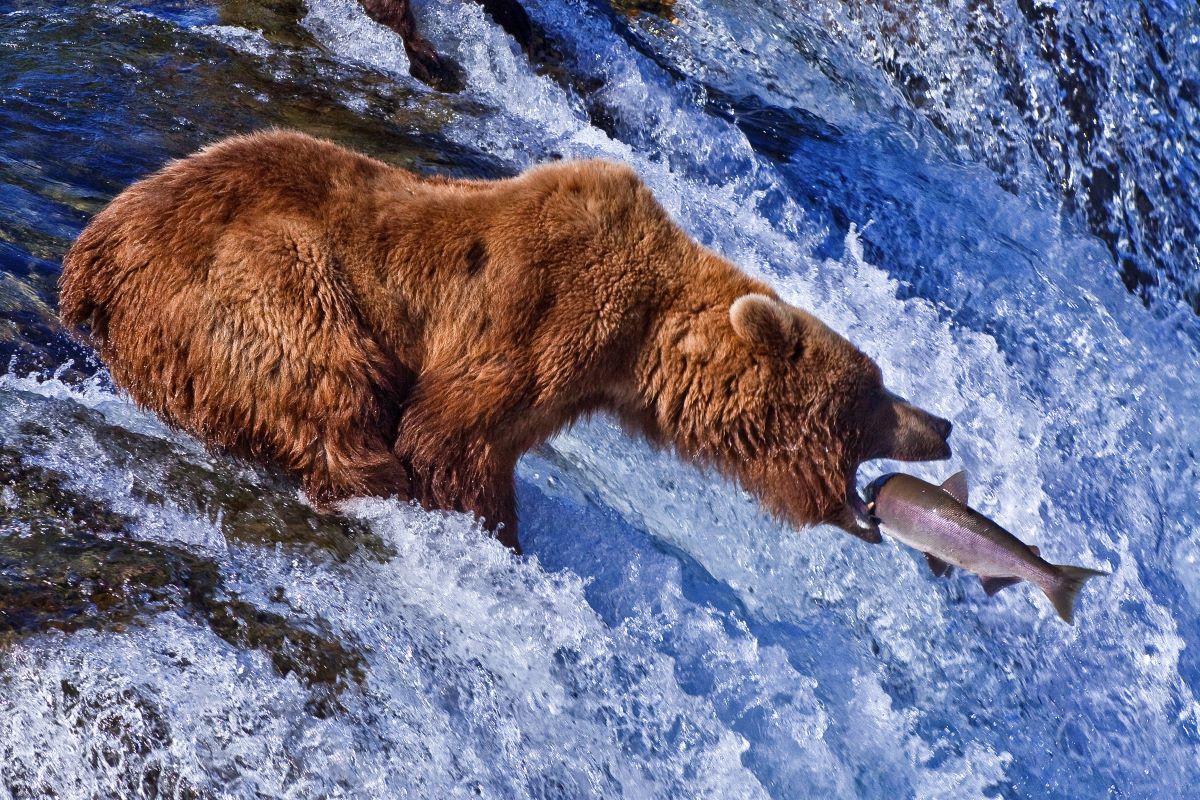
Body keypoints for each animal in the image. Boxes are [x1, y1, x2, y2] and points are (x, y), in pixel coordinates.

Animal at [60, 133, 950, 556]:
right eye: (873, 391)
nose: (941, 423)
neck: (639, 346)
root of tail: (90, 256)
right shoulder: (543, 315)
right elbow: (453, 437)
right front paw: (490, 531)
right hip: (254, 273)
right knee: (325, 377)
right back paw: (363, 474)